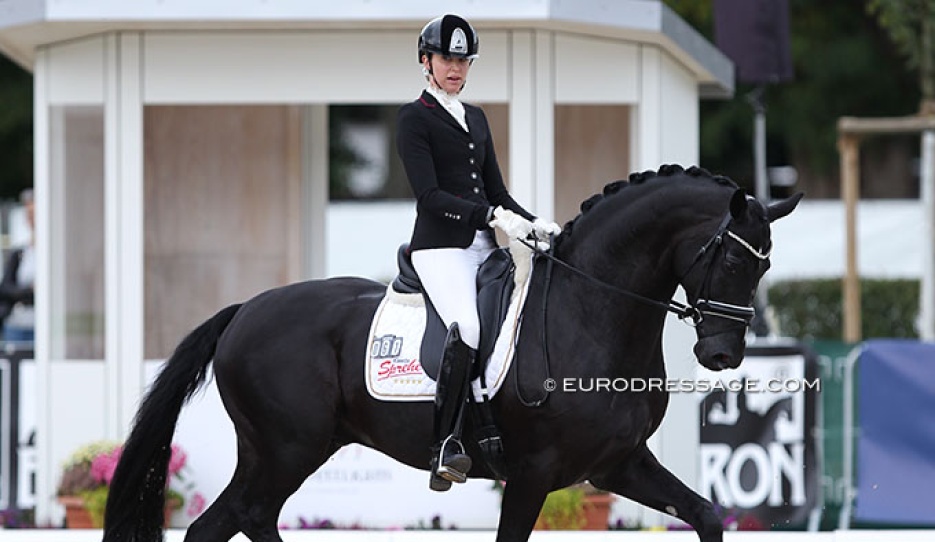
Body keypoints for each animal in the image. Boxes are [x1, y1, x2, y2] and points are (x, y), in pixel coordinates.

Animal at [101, 164, 802, 542]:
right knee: (250, 513)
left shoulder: (617, 464)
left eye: (766, 265)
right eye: (734, 260)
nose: (722, 355)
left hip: (276, 450)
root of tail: (244, 310)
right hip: (287, 448)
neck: (592, 310)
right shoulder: (533, 473)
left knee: (221, 522)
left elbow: (706, 515)